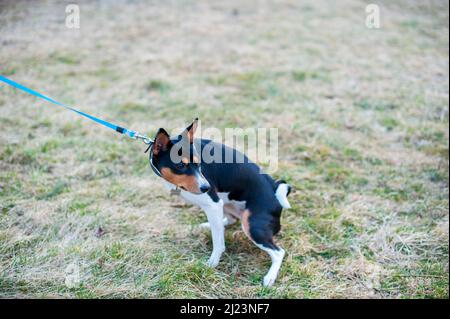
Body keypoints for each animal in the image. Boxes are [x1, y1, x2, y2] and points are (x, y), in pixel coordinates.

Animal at [148, 119, 292, 288]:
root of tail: (275, 190)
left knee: (278, 252)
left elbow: (218, 243)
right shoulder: (215, 205)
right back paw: (207, 225)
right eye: (180, 166)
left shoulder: (214, 203)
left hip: (252, 226)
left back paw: (270, 277)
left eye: (199, 164)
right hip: (228, 205)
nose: (206, 187)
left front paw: (212, 263)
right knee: (230, 220)